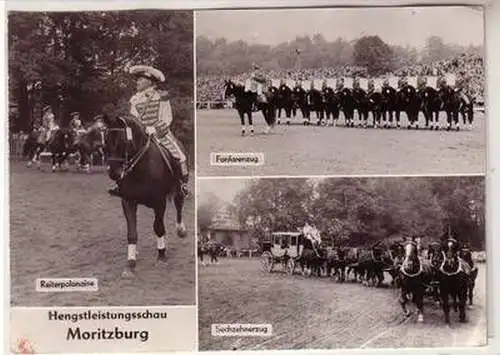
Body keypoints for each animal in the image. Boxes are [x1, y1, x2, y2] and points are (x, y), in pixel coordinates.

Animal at [102, 115, 187, 276]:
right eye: (106, 141)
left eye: (123, 141)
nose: (114, 173)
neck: (141, 168)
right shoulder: (127, 201)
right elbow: (132, 232)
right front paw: (130, 263)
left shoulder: (160, 202)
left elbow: (158, 227)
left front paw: (161, 256)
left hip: (178, 187)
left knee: (179, 203)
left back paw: (181, 229)